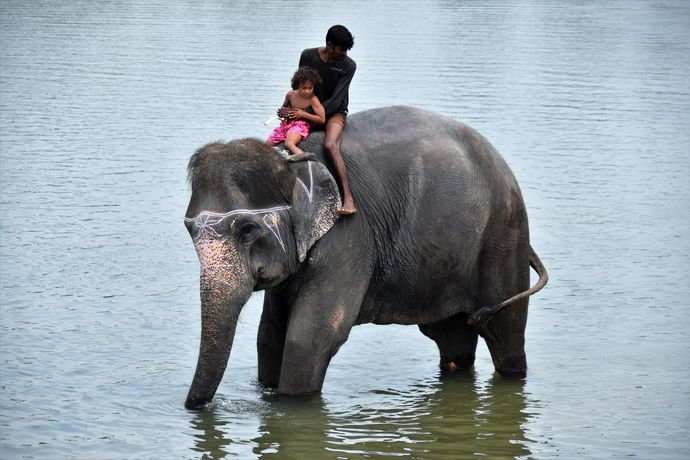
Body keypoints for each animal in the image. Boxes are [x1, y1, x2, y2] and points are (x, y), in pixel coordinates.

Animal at [184, 105, 548, 410]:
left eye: (248, 229)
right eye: (189, 230)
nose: (195, 407)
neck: (289, 163)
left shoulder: (349, 236)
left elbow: (309, 336)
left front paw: (292, 405)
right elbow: (270, 334)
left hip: (503, 237)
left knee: (504, 331)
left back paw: (512, 370)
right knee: (452, 337)